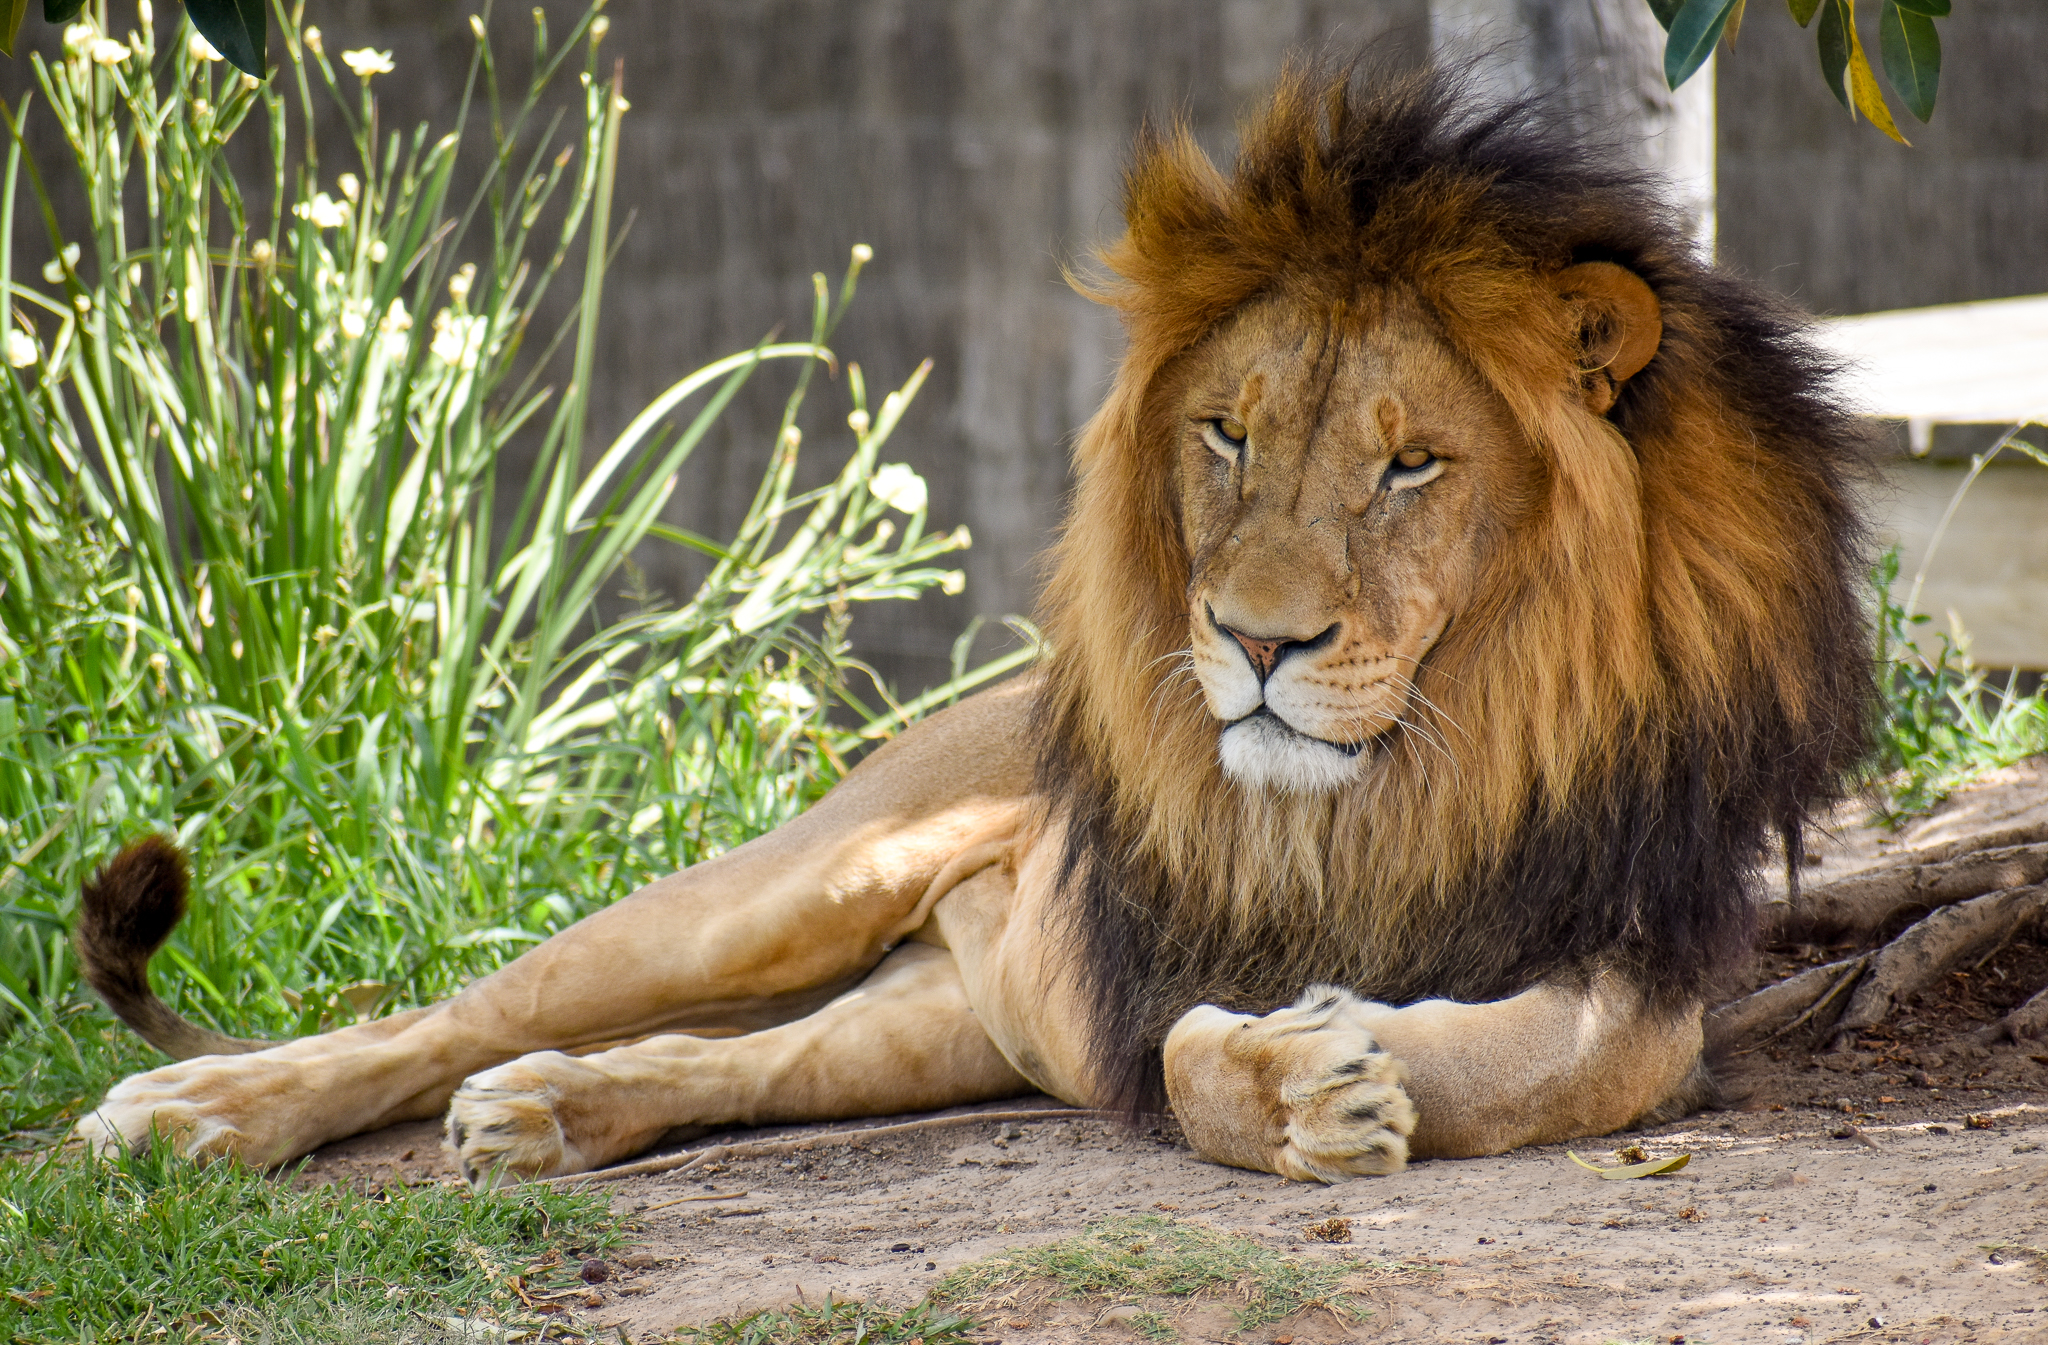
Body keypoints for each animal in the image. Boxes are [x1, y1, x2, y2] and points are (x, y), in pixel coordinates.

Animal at [71, 62, 1873, 1188]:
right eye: (1226, 436)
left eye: (1409, 464)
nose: (1254, 645)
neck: (1425, 756)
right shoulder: (1166, 973)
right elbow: (1200, 1054)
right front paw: (1305, 1084)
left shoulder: (1639, 970)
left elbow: (1495, 1064)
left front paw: (1337, 1059)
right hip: (794, 880)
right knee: (446, 1012)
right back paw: (185, 1112)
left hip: (949, 1020)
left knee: (731, 1066)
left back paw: (542, 1119)